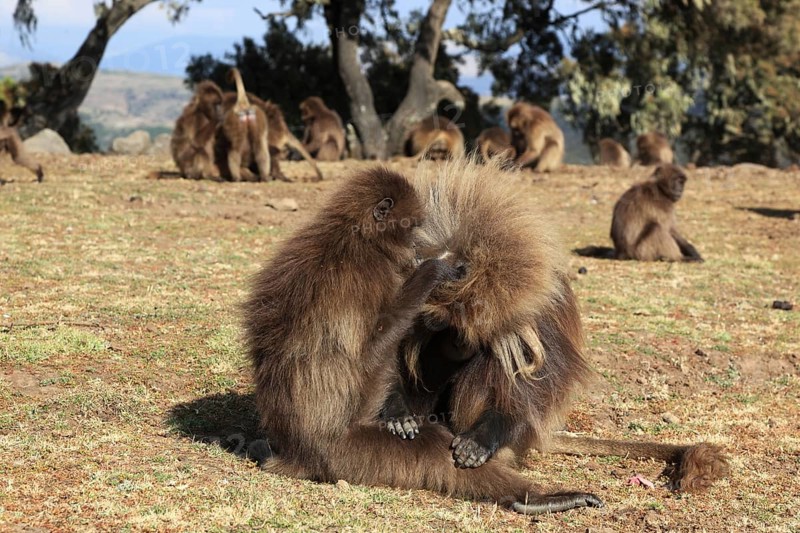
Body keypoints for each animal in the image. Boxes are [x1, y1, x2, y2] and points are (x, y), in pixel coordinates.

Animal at [243, 165, 603, 516]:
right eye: (445, 328)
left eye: (460, 332)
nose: (459, 346)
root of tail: (295, 453)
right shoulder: (386, 277)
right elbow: (375, 354)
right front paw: (434, 272)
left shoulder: (540, 312)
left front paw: (486, 434)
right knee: (430, 443)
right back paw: (540, 499)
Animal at [397, 157, 725, 501]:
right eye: (444, 328)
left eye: (460, 332)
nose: (457, 347)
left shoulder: (532, 315)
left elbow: (535, 380)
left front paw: (482, 439)